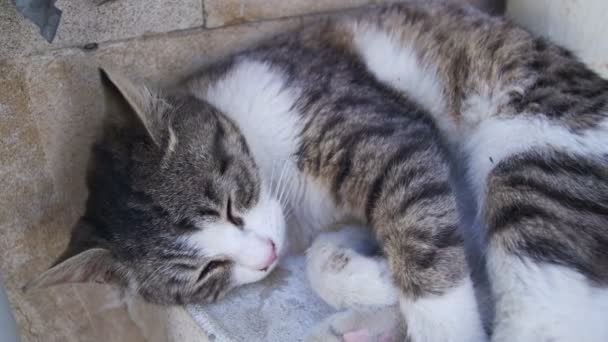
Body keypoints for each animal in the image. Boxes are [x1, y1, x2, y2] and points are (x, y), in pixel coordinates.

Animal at [25, 1, 608, 340]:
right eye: (206, 273)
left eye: (229, 205)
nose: (266, 255)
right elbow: (325, 262)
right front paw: (376, 283)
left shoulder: (392, 136)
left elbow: (422, 246)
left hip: (531, 162)